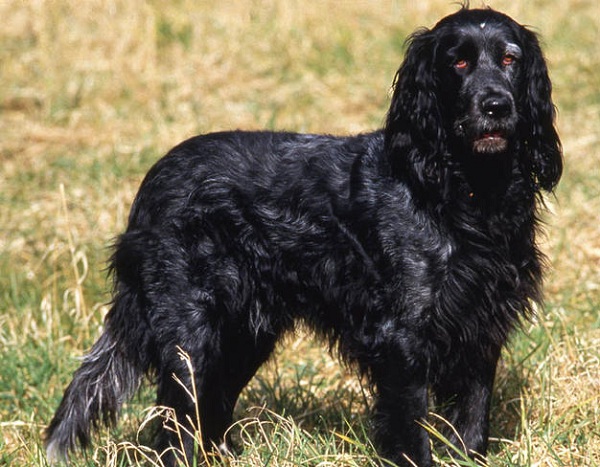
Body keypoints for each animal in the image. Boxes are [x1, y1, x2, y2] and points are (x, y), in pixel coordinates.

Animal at [48, 8, 564, 467]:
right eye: (458, 62)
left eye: (510, 59)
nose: (496, 106)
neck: (461, 191)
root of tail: (152, 182)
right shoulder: (402, 337)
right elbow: (411, 432)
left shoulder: (481, 325)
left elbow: (473, 421)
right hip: (191, 335)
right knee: (177, 429)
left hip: (243, 333)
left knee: (210, 413)